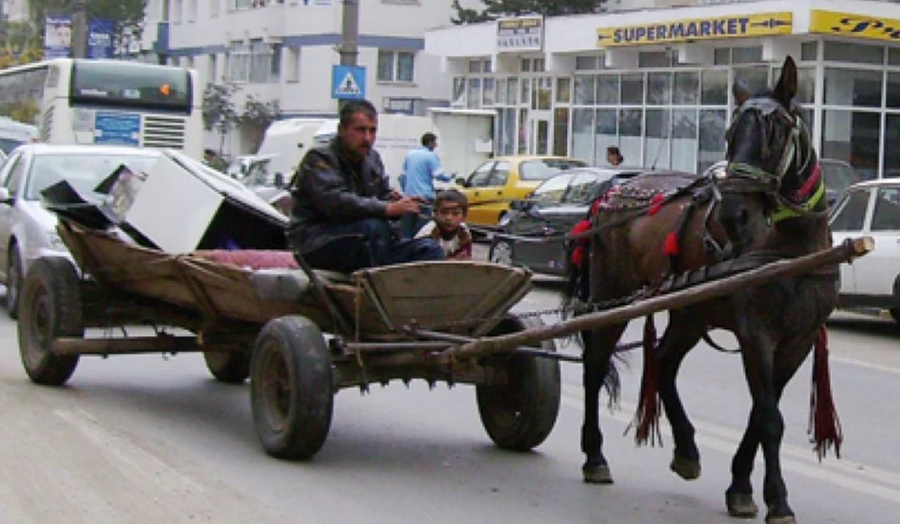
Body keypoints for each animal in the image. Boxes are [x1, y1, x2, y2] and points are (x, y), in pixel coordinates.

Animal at [568, 55, 840, 520]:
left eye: (774, 132)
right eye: (729, 134)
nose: (734, 214)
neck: (793, 248)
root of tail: (612, 190)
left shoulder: (798, 342)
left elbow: (760, 414)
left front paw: (741, 486)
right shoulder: (757, 335)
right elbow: (770, 418)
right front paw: (777, 498)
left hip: (691, 313)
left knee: (663, 362)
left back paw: (686, 450)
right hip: (609, 296)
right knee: (594, 367)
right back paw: (595, 456)